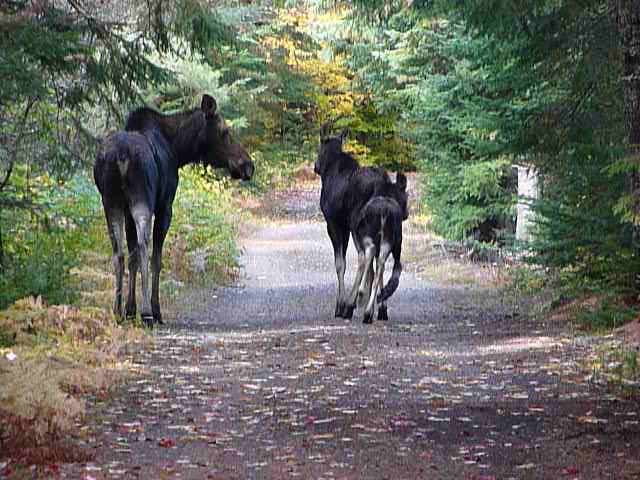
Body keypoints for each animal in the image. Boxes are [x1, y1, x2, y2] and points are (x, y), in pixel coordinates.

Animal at [95, 94, 255, 326]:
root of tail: (121, 156)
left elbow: (132, 257)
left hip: (110, 202)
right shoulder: (165, 206)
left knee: (119, 252)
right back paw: (147, 313)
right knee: (144, 247)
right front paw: (155, 310)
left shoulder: (126, 211)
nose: (248, 165)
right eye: (225, 131)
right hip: (142, 200)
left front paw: (130, 309)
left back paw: (117, 311)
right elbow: (156, 259)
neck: (178, 150)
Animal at [316, 124, 396, 320]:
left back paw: (352, 303)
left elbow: (340, 264)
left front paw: (340, 304)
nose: (316, 167)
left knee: (365, 254)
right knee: (380, 257)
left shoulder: (334, 224)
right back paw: (380, 308)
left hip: (358, 223)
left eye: (319, 147)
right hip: (386, 224)